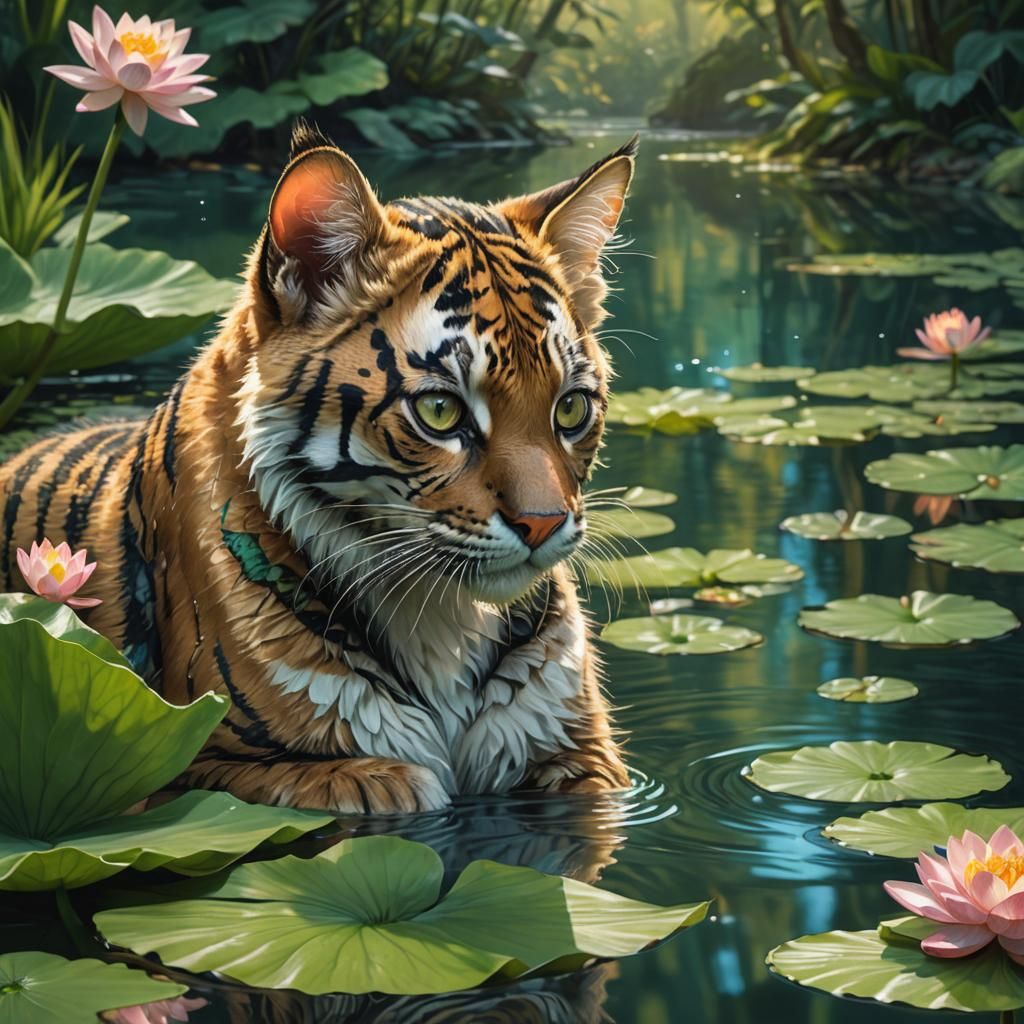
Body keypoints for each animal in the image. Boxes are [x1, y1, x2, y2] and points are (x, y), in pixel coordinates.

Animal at [0, 122, 636, 815]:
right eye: (440, 411)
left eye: (570, 407)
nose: (544, 524)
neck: (444, 619)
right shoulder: (198, 764)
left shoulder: (587, 762)